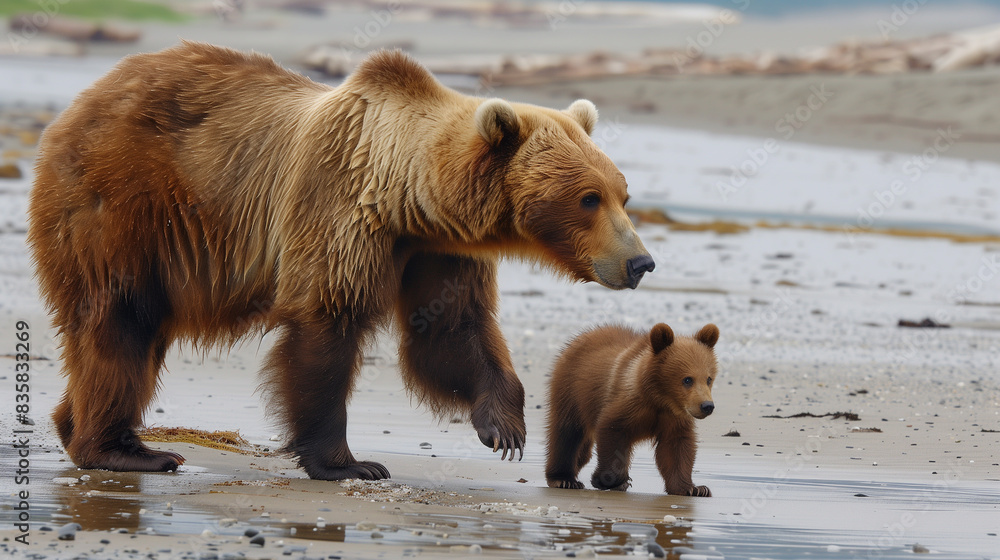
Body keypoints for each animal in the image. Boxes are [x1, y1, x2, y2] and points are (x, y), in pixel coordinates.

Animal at [27, 41, 655, 480]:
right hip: (122, 205)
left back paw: (75, 426)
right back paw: (125, 450)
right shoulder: (340, 210)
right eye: (588, 198)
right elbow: (326, 323)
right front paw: (347, 461)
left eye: (622, 193)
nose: (641, 263)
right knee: (120, 319)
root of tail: (77, 105)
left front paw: (504, 427)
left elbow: (452, 330)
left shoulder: (436, 251)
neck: (409, 196)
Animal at [545, 323, 718, 496]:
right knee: (567, 434)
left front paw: (694, 488)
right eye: (687, 379)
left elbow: (676, 447)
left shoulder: (673, 417)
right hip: (572, 391)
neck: (658, 398)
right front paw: (612, 480)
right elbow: (612, 432)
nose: (707, 406)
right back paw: (564, 479)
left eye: (708, 379)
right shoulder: (627, 405)